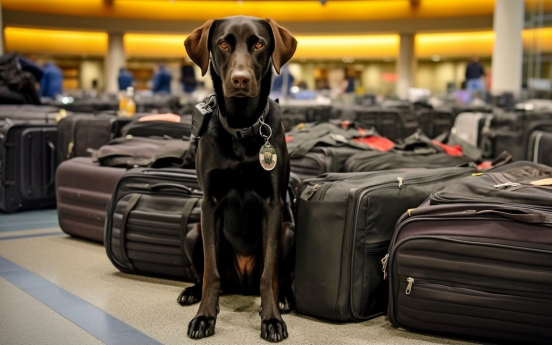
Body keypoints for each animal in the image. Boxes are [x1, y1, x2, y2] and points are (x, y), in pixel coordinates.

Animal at [178, 16, 298, 342]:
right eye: (222, 43)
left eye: (258, 43)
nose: (240, 80)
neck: (242, 126)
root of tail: (242, 282)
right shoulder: (209, 203)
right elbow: (211, 272)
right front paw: (204, 317)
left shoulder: (273, 203)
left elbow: (269, 274)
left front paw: (272, 320)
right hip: (193, 234)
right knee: (206, 273)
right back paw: (191, 292)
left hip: (288, 232)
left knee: (277, 276)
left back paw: (285, 299)